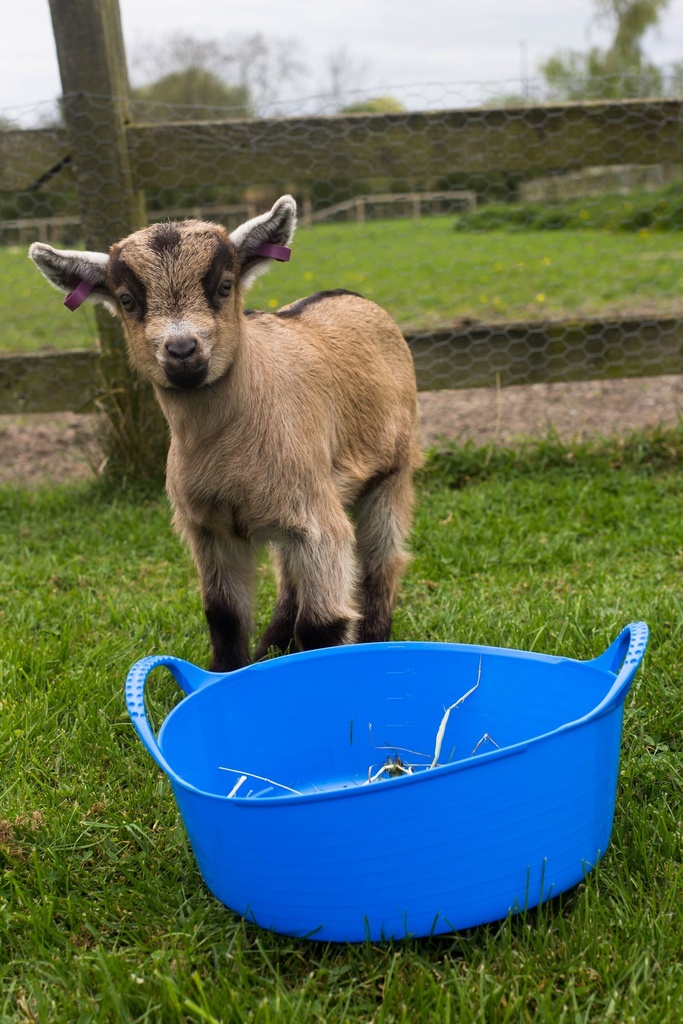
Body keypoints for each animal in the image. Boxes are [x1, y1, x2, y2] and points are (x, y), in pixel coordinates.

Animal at [30, 195, 421, 671]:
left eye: (224, 286)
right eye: (127, 300)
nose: (182, 351)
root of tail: (350, 296)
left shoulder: (317, 518)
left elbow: (322, 627)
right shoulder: (211, 527)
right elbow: (224, 616)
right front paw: (227, 672)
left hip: (391, 472)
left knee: (381, 564)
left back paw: (376, 638)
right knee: (289, 576)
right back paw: (271, 645)